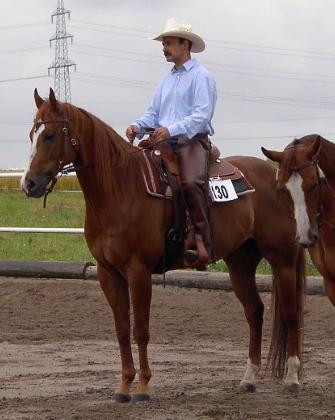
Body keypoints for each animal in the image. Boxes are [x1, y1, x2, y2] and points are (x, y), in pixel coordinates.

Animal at [19, 88, 306, 400]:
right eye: (32, 134)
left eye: (49, 135)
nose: (28, 184)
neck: (120, 189)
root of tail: (276, 177)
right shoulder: (108, 273)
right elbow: (122, 330)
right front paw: (123, 386)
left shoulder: (139, 271)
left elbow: (141, 330)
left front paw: (143, 386)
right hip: (240, 262)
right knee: (255, 312)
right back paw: (249, 378)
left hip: (282, 259)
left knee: (290, 313)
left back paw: (292, 377)